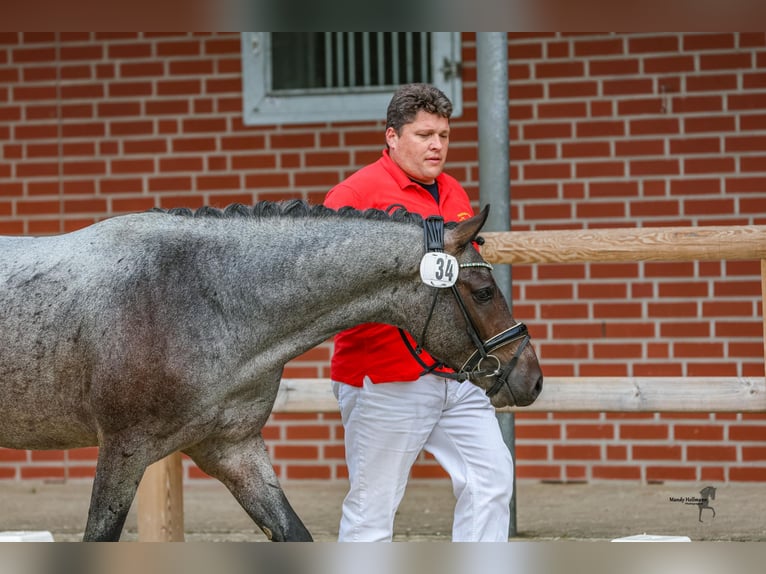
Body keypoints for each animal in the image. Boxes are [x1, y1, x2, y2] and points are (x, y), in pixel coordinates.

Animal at [0, 200, 540, 544]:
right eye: (483, 292)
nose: (530, 377)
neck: (200, 297)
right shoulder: (123, 450)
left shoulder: (231, 449)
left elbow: (292, 533)